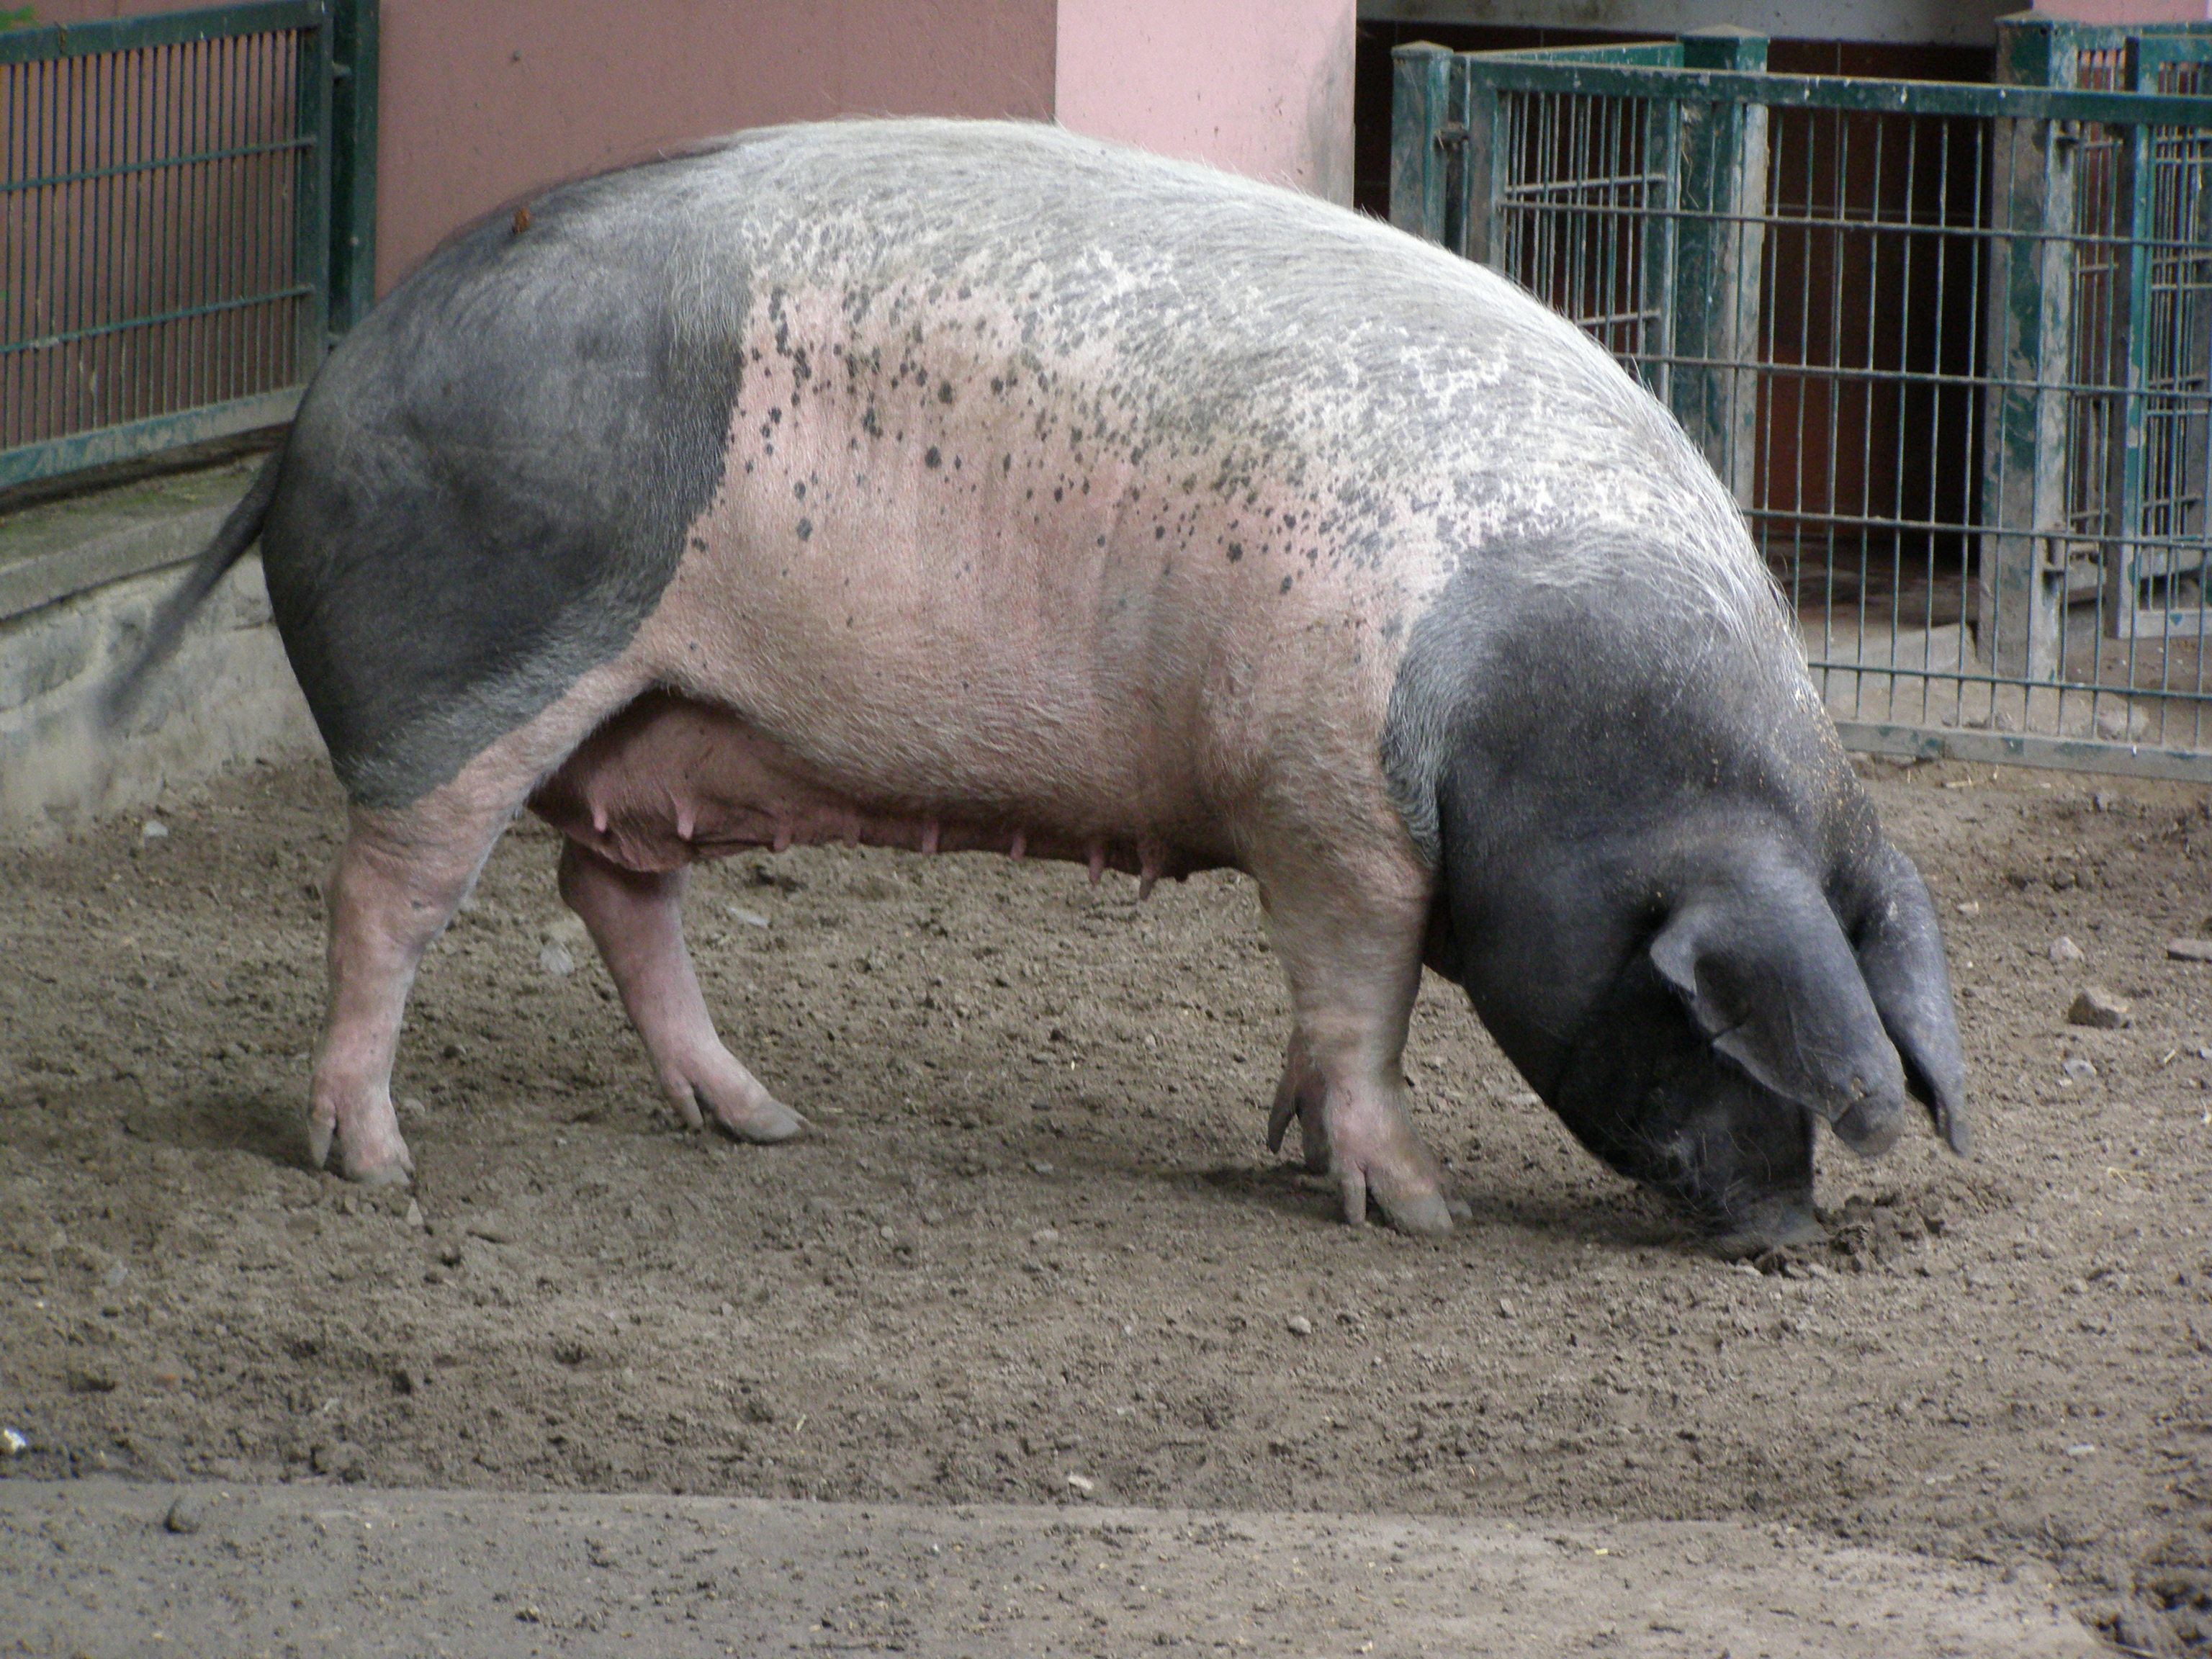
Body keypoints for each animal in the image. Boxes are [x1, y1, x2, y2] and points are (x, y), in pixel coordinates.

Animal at [107, 120, 1973, 1247]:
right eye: (1692, 1006)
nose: (1783, 1231)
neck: (1526, 708)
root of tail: (316, 403)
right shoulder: (1330, 809)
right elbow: (1359, 1006)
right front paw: (1415, 1210)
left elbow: (1324, 1026)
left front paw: (1286, 1145)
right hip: (472, 689)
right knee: (388, 895)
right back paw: (375, 1163)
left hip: (655, 716)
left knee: (612, 890)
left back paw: (762, 1124)